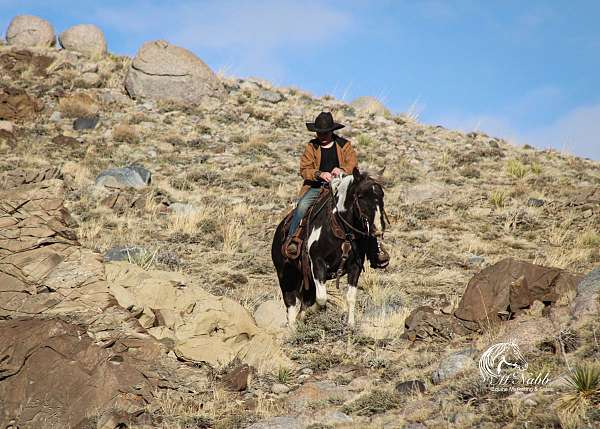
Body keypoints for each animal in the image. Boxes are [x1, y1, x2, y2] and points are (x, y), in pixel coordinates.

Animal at [272, 168, 390, 328]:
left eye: (381, 194)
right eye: (360, 196)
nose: (377, 228)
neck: (343, 232)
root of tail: (279, 230)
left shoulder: (355, 266)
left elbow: (350, 297)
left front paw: (350, 324)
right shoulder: (317, 263)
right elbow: (321, 298)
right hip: (286, 275)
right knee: (290, 303)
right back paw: (292, 328)